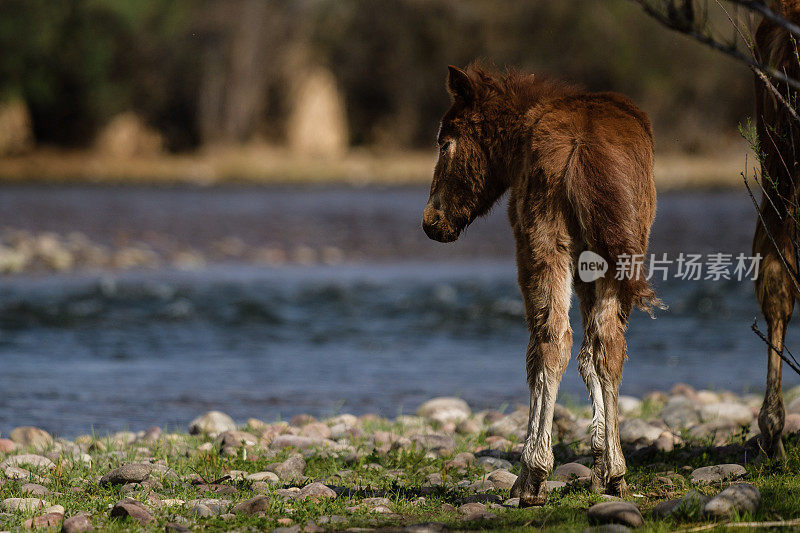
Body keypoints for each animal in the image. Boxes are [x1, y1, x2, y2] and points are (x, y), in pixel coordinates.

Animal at [422, 64, 660, 504]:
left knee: (549, 342)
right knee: (608, 344)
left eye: (445, 143)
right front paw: (601, 462)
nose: (432, 222)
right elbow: (592, 354)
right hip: (622, 252)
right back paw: (617, 472)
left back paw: (531, 476)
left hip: (541, 240)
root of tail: (582, 147)